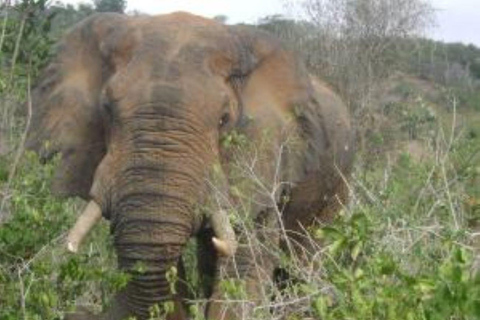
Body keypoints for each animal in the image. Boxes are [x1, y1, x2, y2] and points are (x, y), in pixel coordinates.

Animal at [27, 11, 356, 318]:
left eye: (224, 119)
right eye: (106, 109)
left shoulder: (267, 157)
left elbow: (245, 262)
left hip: (337, 183)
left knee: (302, 256)